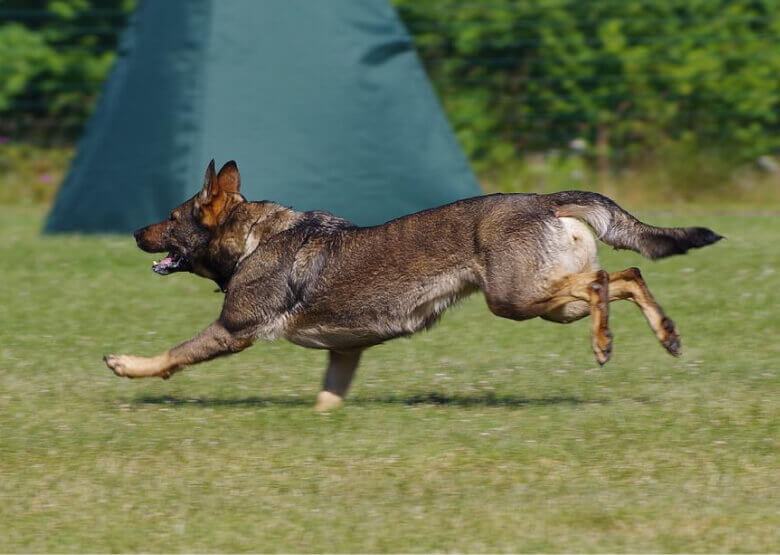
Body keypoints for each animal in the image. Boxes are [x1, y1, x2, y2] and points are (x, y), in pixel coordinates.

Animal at [105, 159, 724, 410]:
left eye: (171, 217)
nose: (133, 232)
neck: (254, 239)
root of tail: (548, 199)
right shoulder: (345, 351)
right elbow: (328, 397)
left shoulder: (234, 329)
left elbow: (171, 355)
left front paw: (126, 366)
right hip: (544, 301)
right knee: (628, 275)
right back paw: (666, 335)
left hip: (515, 299)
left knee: (599, 281)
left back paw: (604, 343)